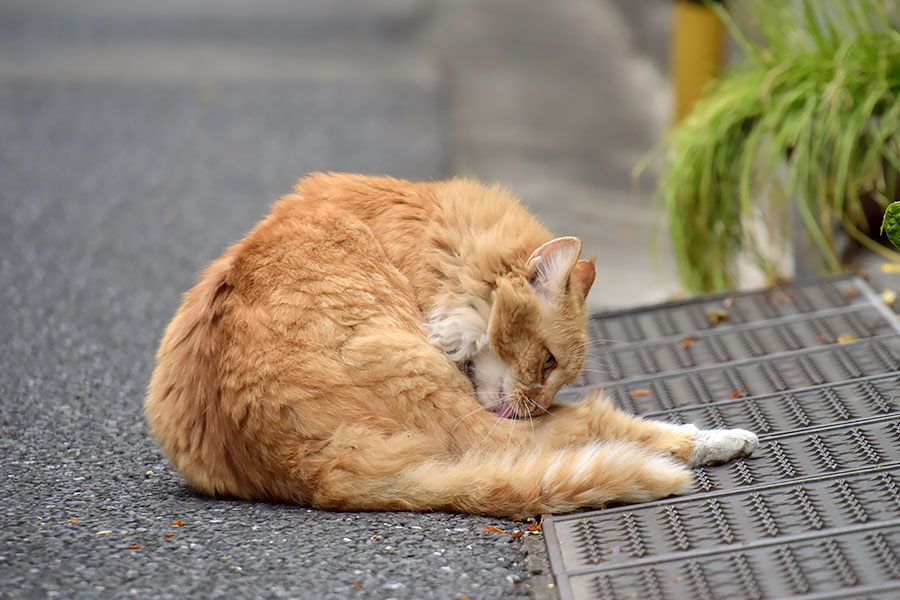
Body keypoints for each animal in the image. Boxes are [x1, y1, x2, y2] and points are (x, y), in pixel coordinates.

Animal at [144, 172, 756, 516]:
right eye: (549, 361)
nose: (538, 403)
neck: (423, 240)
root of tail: (313, 476)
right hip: (460, 409)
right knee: (593, 427)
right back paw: (719, 439)